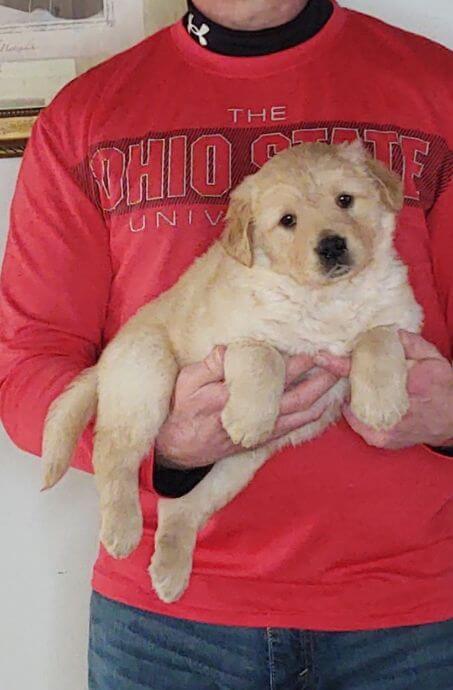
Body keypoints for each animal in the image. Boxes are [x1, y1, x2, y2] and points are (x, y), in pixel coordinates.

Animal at [40, 141, 422, 600]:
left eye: (345, 200)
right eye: (288, 221)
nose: (331, 246)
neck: (327, 298)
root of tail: (106, 360)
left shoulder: (403, 319)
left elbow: (378, 337)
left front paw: (381, 405)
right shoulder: (231, 337)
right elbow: (262, 355)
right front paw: (250, 417)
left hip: (236, 468)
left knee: (181, 507)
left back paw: (169, 571)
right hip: (147, 376)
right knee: (113, 453)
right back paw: (122, 529)